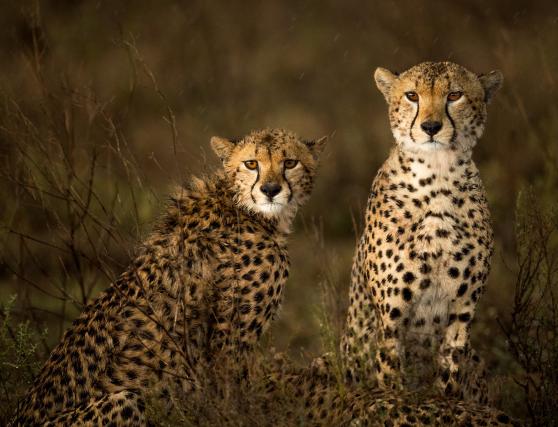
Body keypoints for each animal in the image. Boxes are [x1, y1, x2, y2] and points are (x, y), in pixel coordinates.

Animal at [10, 129, 328, 426]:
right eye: (251, 163)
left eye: (290, 162)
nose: (270, 189)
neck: (244, 208)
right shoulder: (229, 344)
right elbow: (240, 403)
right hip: (127, 398)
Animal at [344, 61, 506, 404]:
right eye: (412, 96)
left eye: (455, 95)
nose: (431, 127)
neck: (438, 175)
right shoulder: (392, 318)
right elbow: (391, 379)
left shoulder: (462, 313)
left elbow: (451, 375)